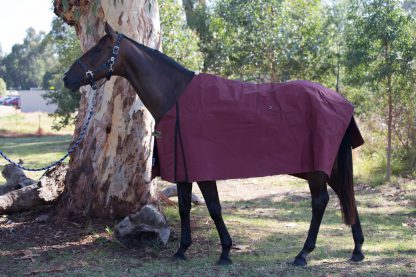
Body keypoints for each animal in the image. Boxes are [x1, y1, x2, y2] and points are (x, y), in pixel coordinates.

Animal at [63, 22, 366, 266]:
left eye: (98, 50)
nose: (67, 78)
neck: (175, 96)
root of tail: (340, 101)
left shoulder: (201, 168)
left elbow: (213, 208)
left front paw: (224, 252)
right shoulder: (183, 168)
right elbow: (186, 206)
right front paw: (183, 251)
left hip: (316, 169)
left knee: (321, 202)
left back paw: (303, 254)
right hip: (328, 167)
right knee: (345, 194)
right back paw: (357, 249)